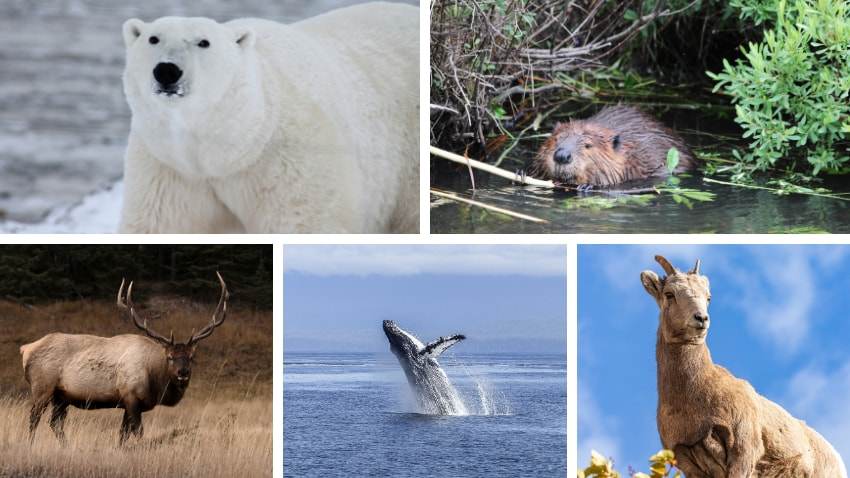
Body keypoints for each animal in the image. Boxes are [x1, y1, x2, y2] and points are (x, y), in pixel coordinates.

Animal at [20, 272, 229, 448]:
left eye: (191, 357)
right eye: (169, 357)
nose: (182, 372)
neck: (154, 380)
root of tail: (25, 349)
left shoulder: (130, 404)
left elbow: (123, 434)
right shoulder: (131, 397)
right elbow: (138, 432)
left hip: (62, 397)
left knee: (55, 423)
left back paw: (67, 447)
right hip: (42, 387)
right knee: (33, 418)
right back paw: (30, 446)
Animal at [120, 2, 420, 234]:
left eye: (203, 42)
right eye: (153, 38)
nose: (167, 71)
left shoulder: (289, 158)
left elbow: (304, 222)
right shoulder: (169, 167)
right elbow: (158, 224)